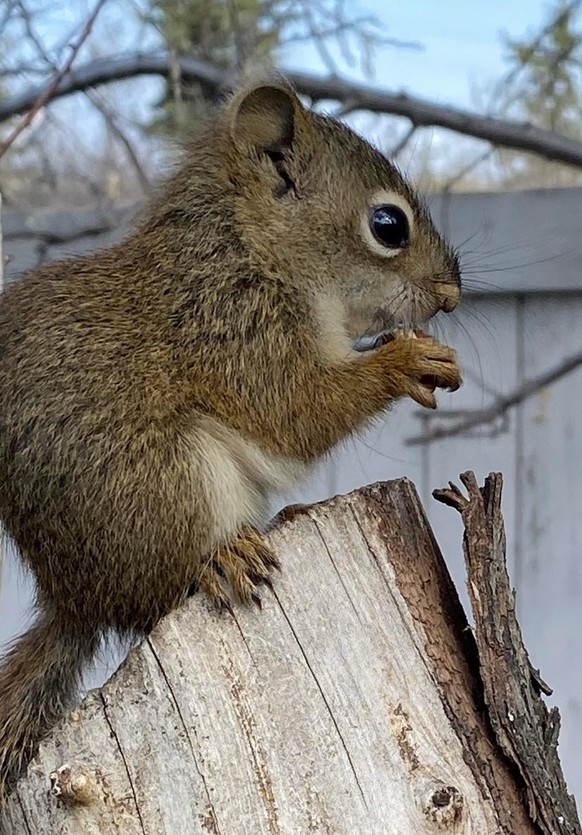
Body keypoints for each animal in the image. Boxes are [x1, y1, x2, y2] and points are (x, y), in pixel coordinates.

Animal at [0, 73, 466, 796]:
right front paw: (404, 362)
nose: (452, 292)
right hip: (164, 484)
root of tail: (75, 598)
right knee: (160, 593)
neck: (251, 248)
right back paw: (217, 559)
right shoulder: (234, 329)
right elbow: (296, 411)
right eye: (388, 225)